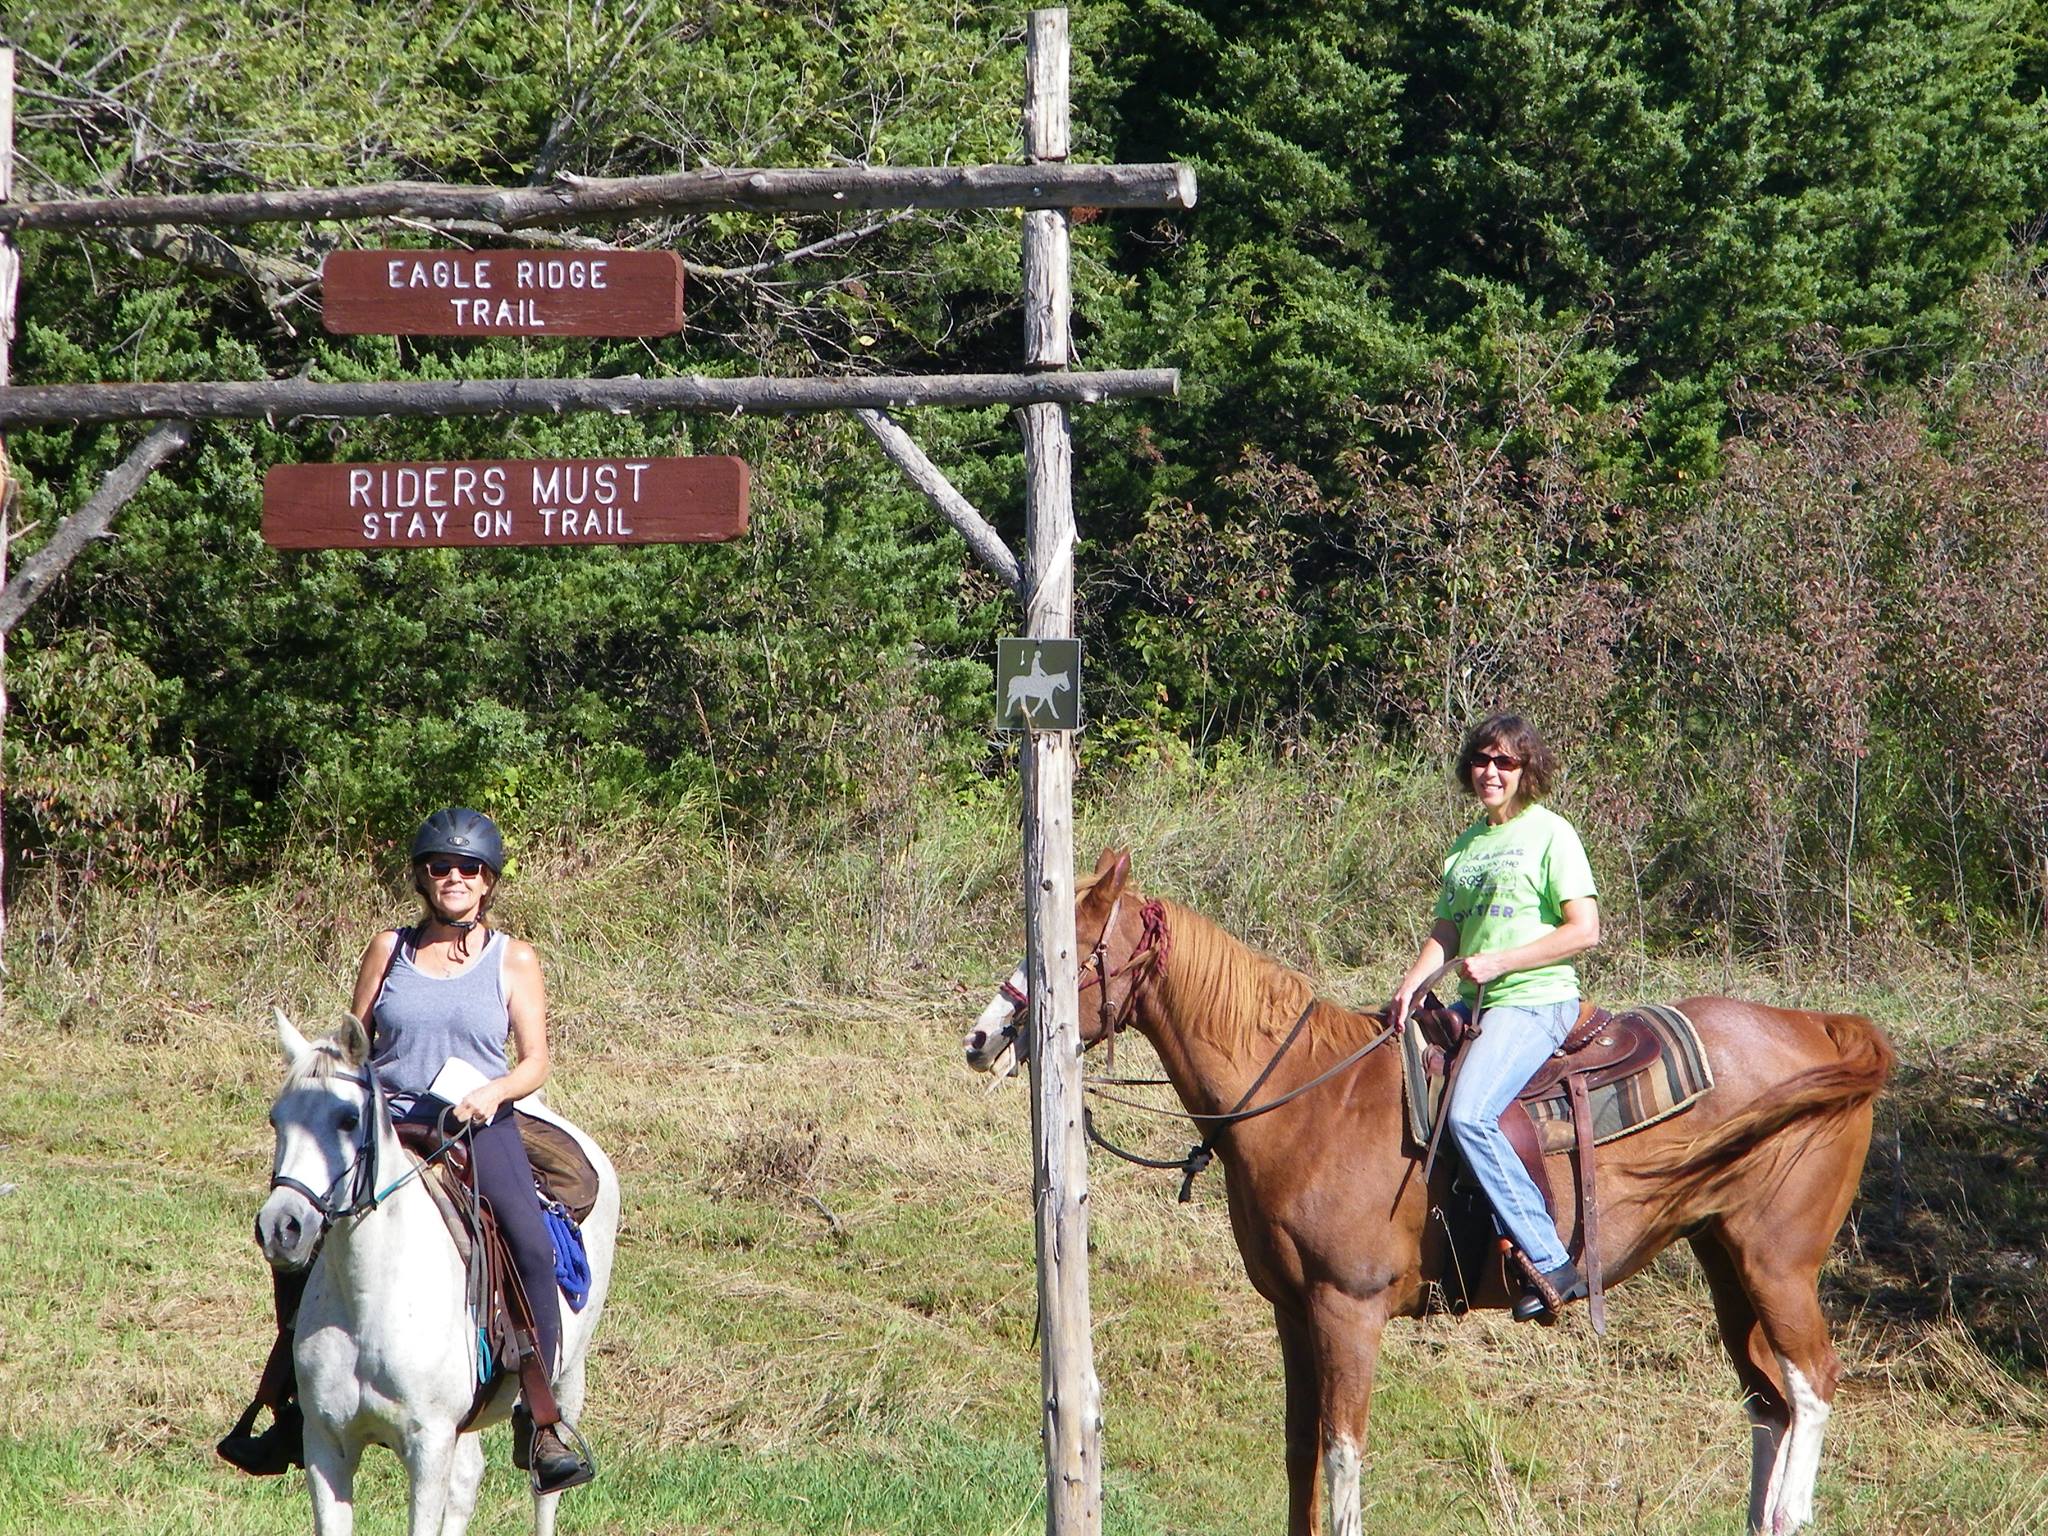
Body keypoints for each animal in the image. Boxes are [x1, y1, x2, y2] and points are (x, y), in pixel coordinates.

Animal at [252, 1011, 614, 1536]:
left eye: (347, 1120)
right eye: (276, 1119)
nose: (281, 1227)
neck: (372, 1299)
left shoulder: (428, 1446)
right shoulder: (325, 1443)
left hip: (568, 1377)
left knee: (545, 1489)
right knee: (468, 1482)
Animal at [966, 847, 1892, 1531]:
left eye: (1064, 952)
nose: (983, 1036)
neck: (1308, 1100)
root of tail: (1827, 1029)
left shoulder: (1349, 1308)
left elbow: (1342, 1454)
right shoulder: (1293, 1308)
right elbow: (1300, 1449)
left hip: (1777, 1263)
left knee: (1812, 1386)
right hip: (1723, 1257)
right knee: (1768, 1405)